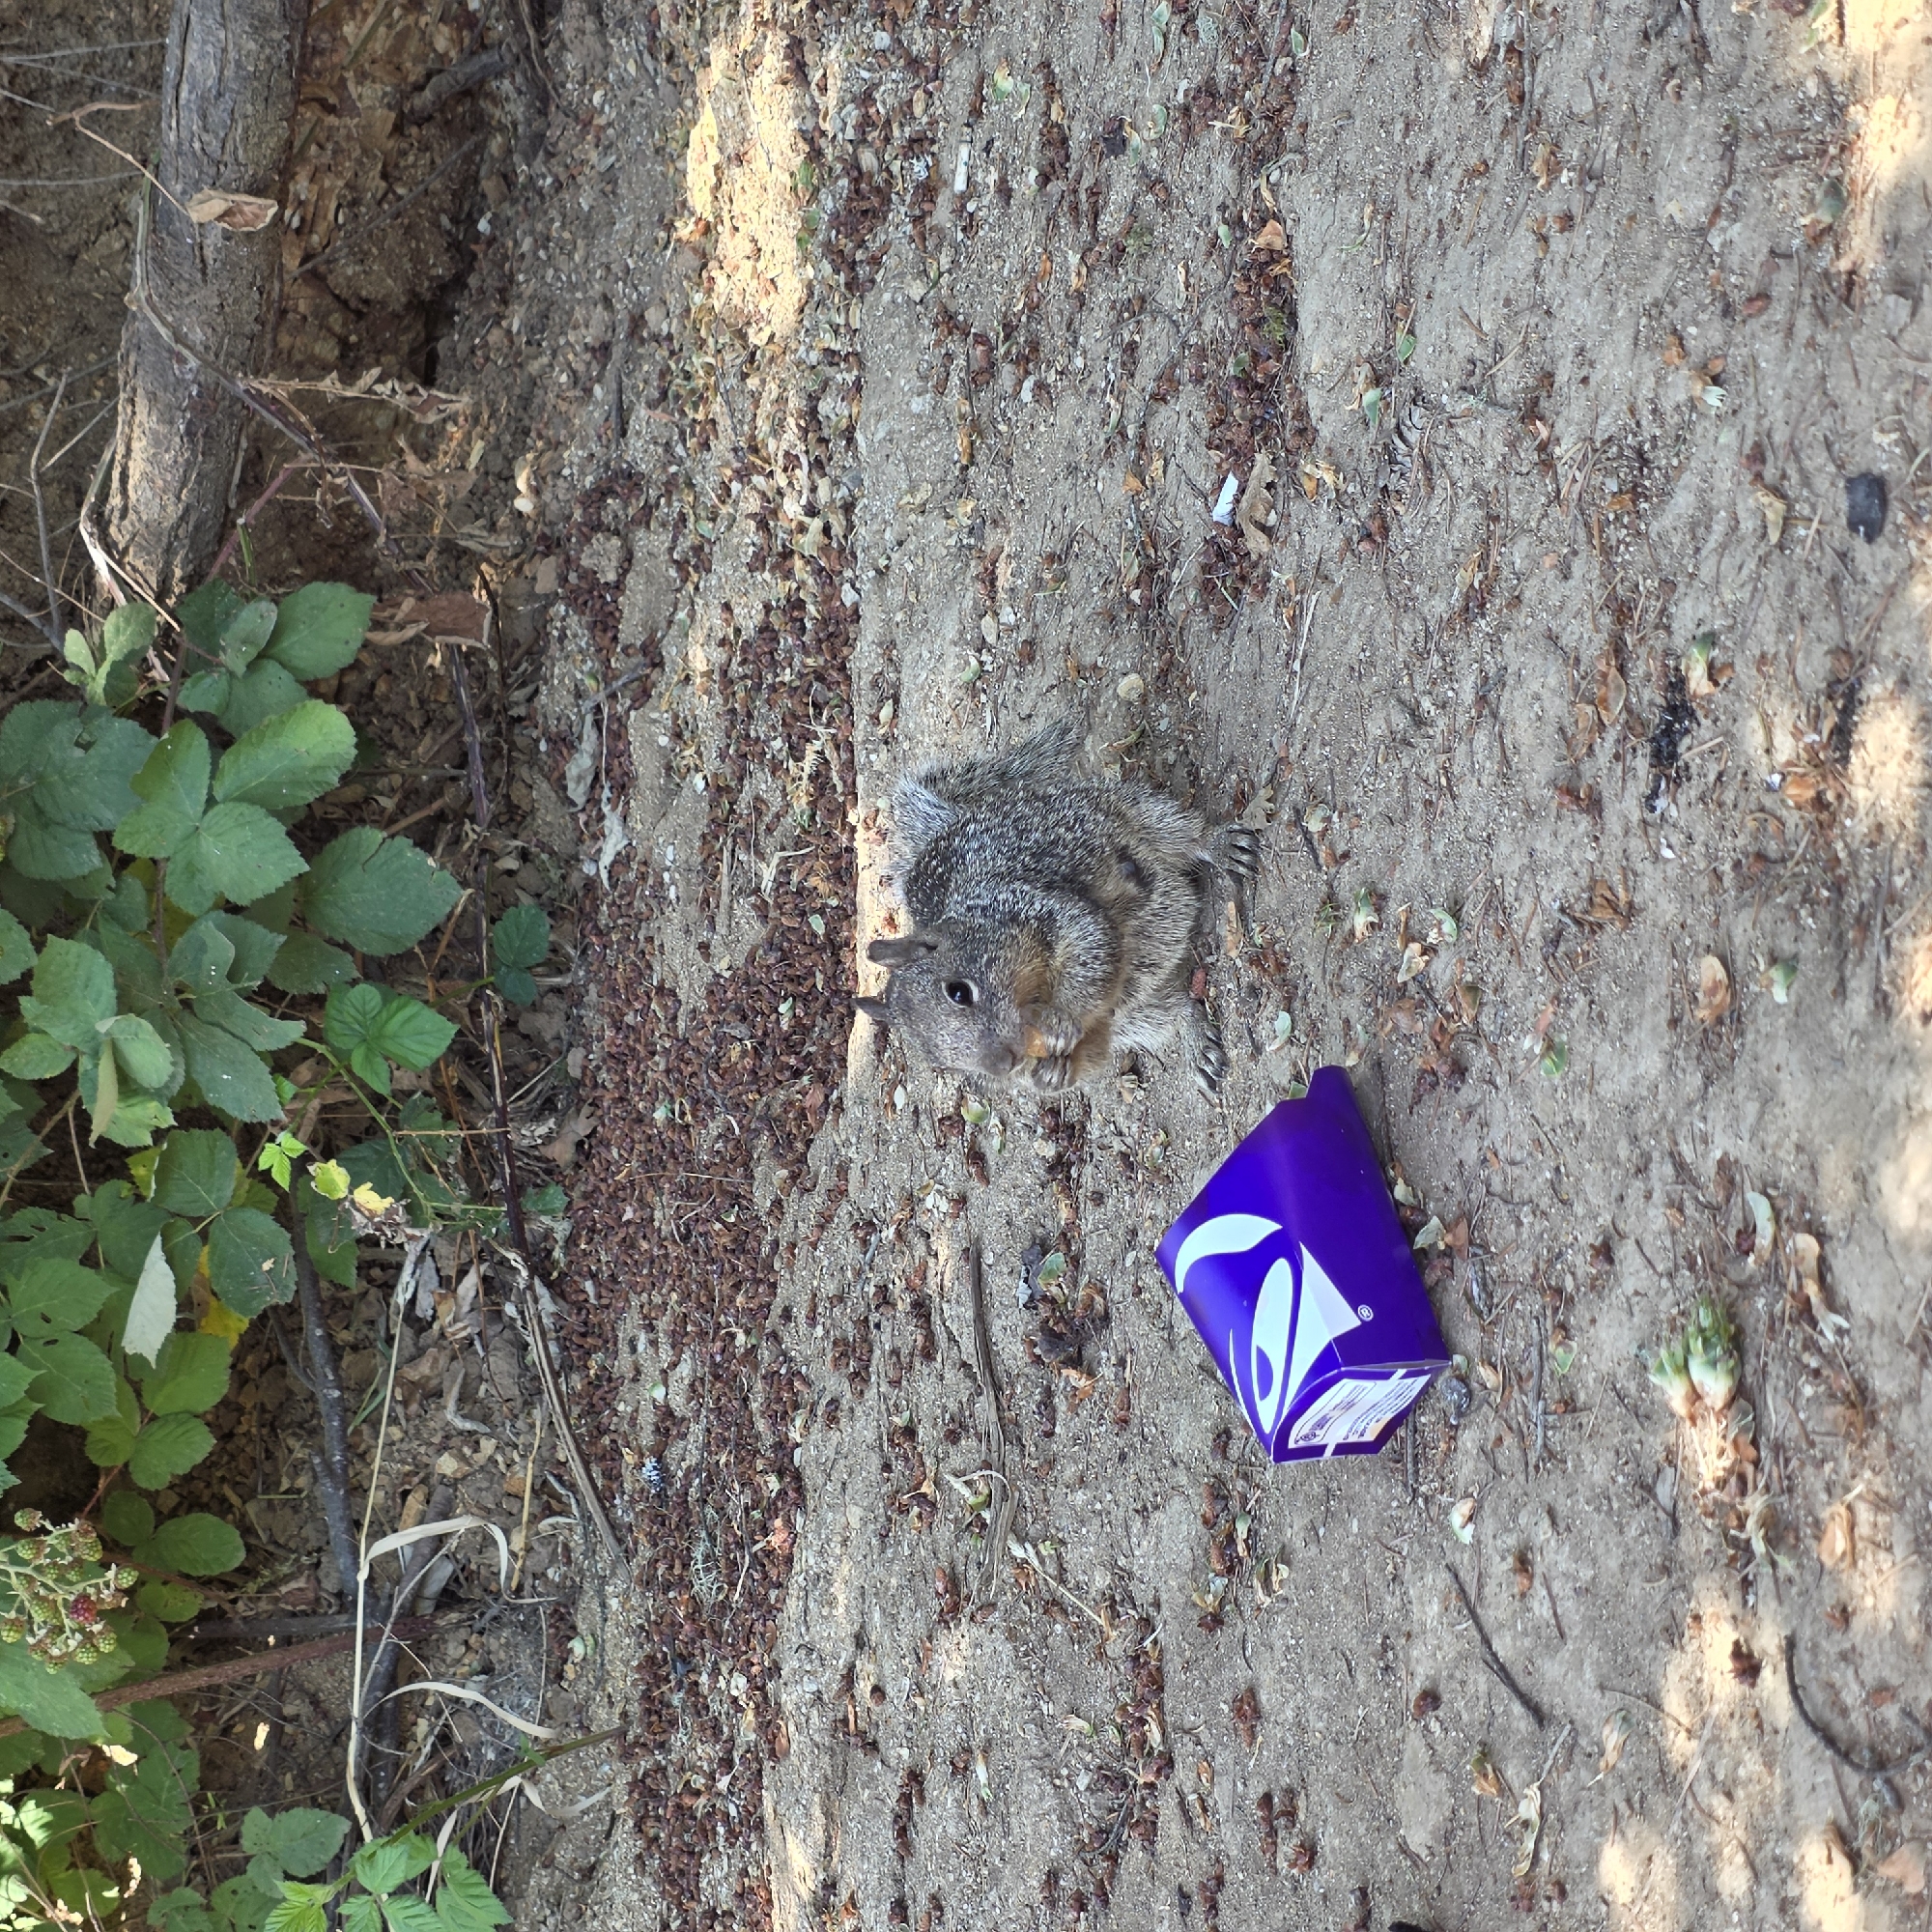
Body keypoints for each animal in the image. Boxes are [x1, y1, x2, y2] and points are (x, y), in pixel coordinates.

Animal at [856, 715, 1259, 1096]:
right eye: (938, 1060)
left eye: (959, 992)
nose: (1005, 1064)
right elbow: (1089, 1052)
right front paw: (1051, 1075)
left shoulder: (1041, 910)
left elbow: (1088, 946)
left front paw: (1061, 1018)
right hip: (1132, 1016)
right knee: (1175, 1010)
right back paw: (1196, 1043)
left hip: (1133, 811)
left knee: (1183, 832)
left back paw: (1220, 845)